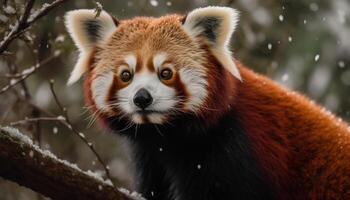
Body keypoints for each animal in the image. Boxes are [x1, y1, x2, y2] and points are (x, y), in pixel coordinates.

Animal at [65, 6, 350, 200]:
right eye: (126, 75)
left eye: (166, 73)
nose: (142, 97)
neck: (169, 135)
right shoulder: (149, 156)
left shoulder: (234, 146)